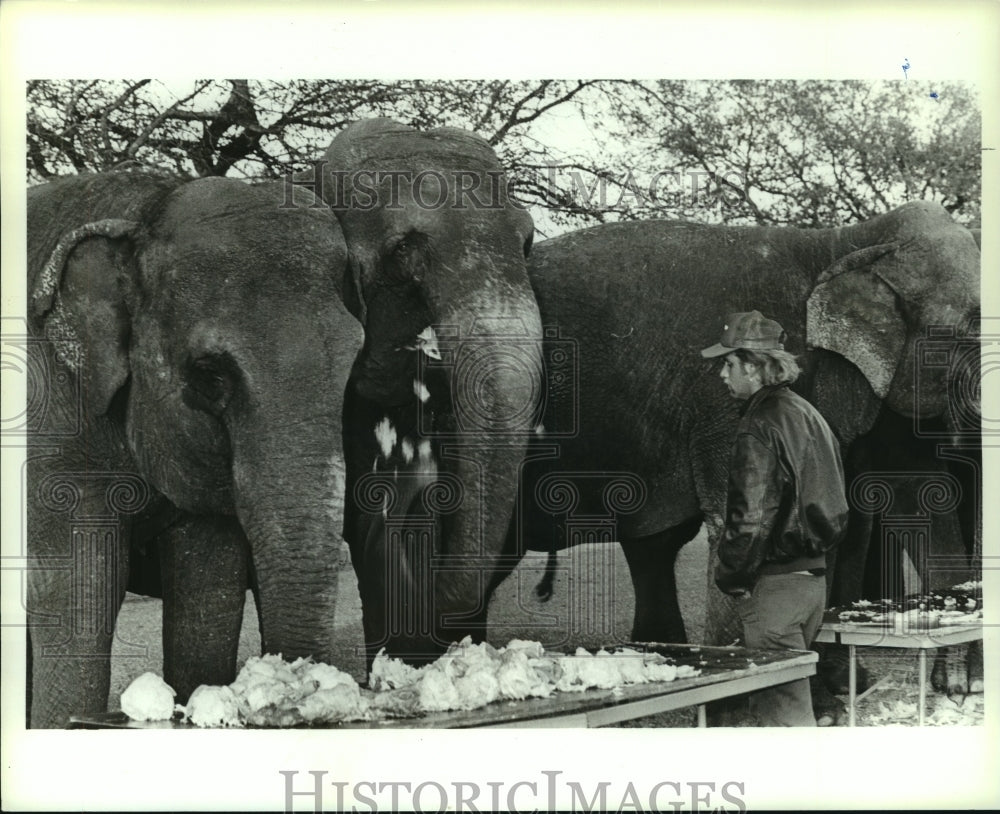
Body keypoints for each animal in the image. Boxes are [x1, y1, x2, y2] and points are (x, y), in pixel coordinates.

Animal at [25, 167, 364, 728]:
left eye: (354, 362)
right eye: (210, 375)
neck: (144, 211)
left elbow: (207, 578)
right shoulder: (48, 418)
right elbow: (81, 587)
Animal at [488, 202, 980, 700]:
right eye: (974, 325)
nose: (962, 688)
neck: (842, 241)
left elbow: (899, 493)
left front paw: (859, 689)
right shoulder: (720, 402)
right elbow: (739, 518)